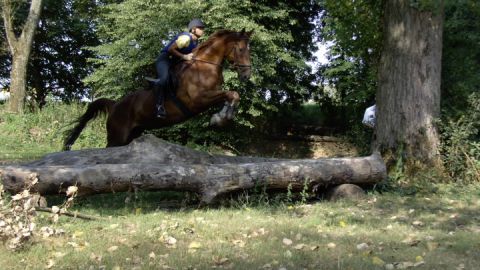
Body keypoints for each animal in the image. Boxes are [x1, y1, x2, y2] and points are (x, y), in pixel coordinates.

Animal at [62, 29, 255, 152]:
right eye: (240, 49)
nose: (246, 74)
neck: (204, 66)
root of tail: (115, 104)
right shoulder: (198, 99)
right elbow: (231, 93)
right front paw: (219, 118)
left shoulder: (212, 94)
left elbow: (232, 95)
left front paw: (223, 117)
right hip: (117, 136)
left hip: (132, 134)